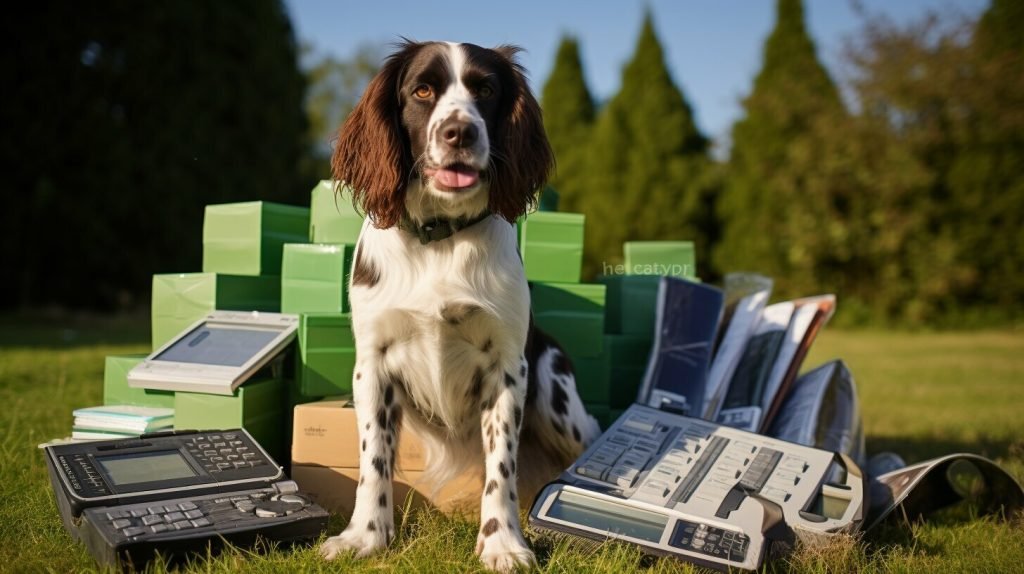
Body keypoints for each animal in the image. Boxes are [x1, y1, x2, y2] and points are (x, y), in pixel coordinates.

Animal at [319, 40, 598, 568]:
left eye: (485, 90)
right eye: (422, 90)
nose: (460, 132)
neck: (440, 237)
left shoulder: (509, 367)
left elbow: (501, 467)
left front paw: (502, 542)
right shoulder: (373, 366)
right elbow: (373, 459)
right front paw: (365, 536)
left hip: (556, 392)